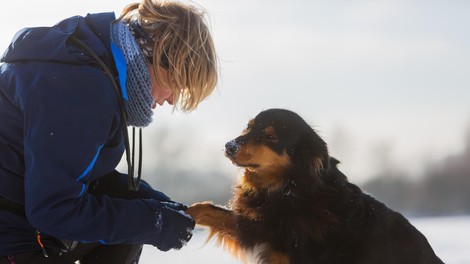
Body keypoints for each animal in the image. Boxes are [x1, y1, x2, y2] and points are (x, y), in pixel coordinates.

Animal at [185, 109, 442, 264]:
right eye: (247, 127)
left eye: (270, 137)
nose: (229, 146)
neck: (290, 189)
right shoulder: (262, 227)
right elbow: (207, 208)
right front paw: (183, 214)